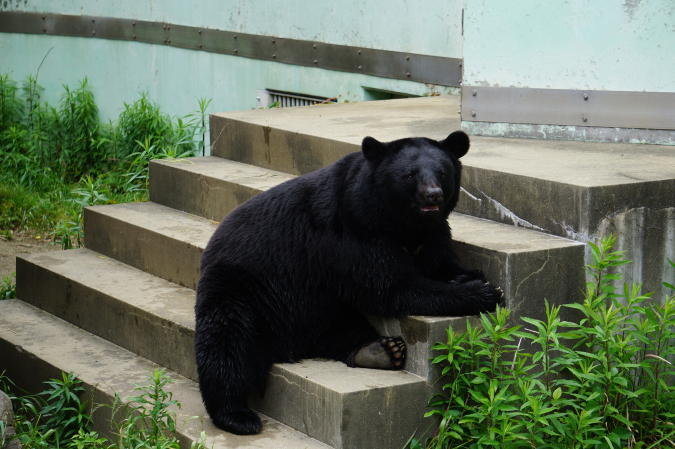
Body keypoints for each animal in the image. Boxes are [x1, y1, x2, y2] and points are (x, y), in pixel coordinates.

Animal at [194, 130, 502, 434]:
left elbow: (440, 261)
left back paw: (379, 351)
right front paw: (484, 293)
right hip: (241, 288)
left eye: (442, 172)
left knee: (339, 327)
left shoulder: (432, 231)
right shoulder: (355, 232)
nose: (433, 195)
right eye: (410, 175)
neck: (401, 222)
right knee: (227, 342)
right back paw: (237, 416)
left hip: (316, 306)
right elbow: (392, 287)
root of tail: (286, 346)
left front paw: (471, 276)